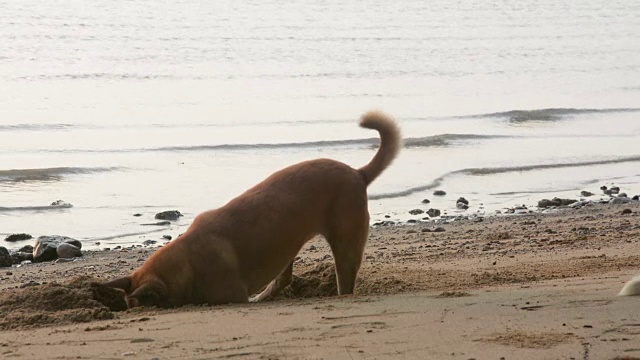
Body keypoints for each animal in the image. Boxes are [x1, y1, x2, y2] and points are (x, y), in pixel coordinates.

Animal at [107, 111, 402, 308]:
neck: (188, 259)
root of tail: (358, 173)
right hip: (287, 243)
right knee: (284, 278)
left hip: (345, 246)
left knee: (344, 282)